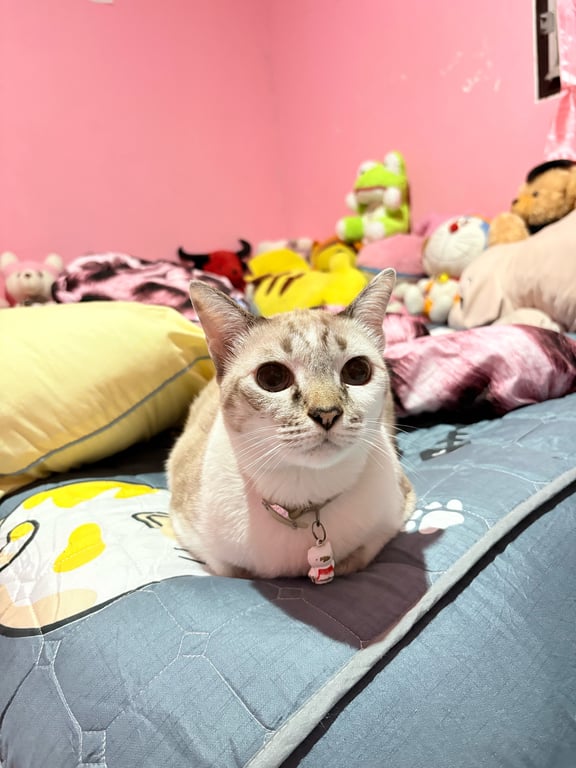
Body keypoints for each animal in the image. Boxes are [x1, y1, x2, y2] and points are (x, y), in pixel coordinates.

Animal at [167, 268, 416, 581]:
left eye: (357, 371)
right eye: (272, 378)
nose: (327, 413)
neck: (305, 498)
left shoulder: (397, 511)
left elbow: (359, 555)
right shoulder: (190, 528)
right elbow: (234, 570)